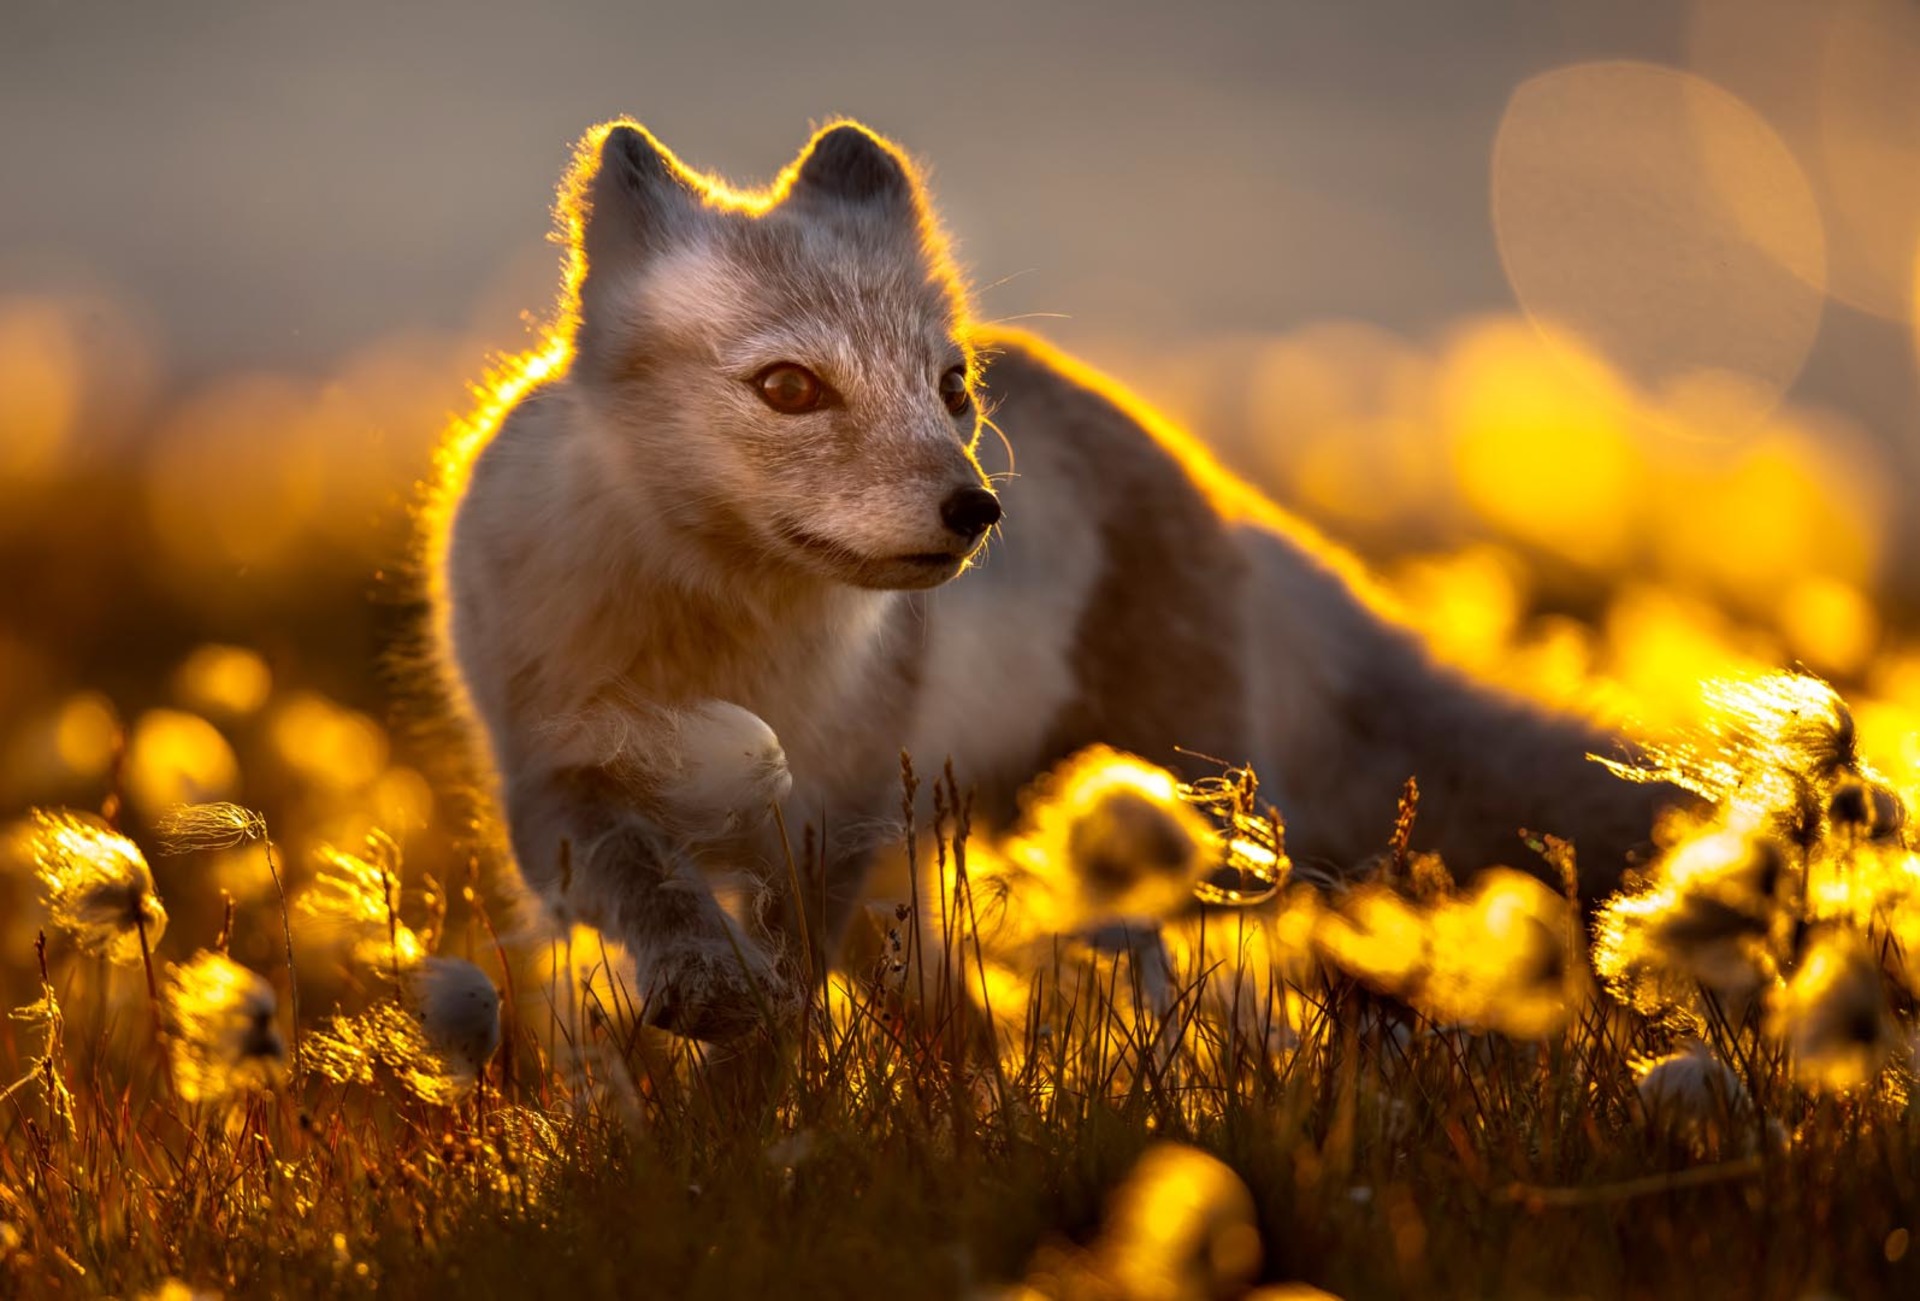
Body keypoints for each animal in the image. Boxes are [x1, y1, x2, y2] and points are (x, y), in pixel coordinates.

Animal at [432, 119, 1666, 1036]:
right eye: (789, 387)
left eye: (949, 387)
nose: (976, 509)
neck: (725, 639)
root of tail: (1215, 492)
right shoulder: (553, 781)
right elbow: (649, 875)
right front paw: (706, 982)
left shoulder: (836, 813)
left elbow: (789, 988)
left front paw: (761, 1082)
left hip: (1154, 823)